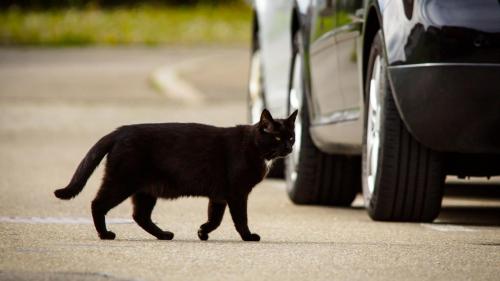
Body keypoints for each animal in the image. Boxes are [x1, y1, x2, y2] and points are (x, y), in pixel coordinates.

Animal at [54, 108, 296, 240]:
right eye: (277, 138)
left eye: (292, 137)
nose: (289, 147)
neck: (255, 147)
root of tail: (119, 131)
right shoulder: (237, 194)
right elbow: (240, 219)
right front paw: (248, 237)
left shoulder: (219, 196)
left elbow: (215, 218)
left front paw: (203, 232)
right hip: (121, 182)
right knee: (98, 204)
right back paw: (105, 234)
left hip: (145, 190)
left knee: (140, 216)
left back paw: (163, 235)